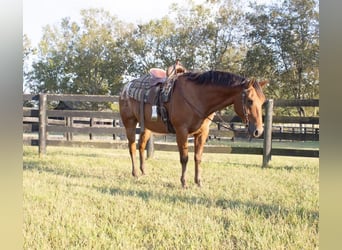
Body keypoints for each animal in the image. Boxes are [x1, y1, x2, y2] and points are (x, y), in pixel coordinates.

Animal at [119, 70, 268, 188]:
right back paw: (135, 173)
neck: (197, 97)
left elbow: (198, 157)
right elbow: (184, 158)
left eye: (262, 101)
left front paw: (198, 182)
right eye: (249, 101)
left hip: (147, 127)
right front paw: (184, 182)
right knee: (132, 147)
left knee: (141, 146)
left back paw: (143, 171)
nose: (258, 131)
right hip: (130, 123)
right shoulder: (181, 131)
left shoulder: (202, 133)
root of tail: (125, 88)